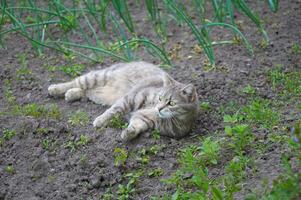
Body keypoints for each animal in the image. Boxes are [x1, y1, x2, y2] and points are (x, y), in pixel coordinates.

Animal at [48, 61, 198, 141]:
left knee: (85, 91)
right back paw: (55, 88)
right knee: (76, 81)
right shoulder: (132, 97)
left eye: (171, 103)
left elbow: (136, 126)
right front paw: (101, 120)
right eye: (160, 98)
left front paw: (128, 133)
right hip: (97, 77)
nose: (159, 108)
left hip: (99, 94)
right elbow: (114, 110)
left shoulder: (144, 119)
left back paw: (72, 94)